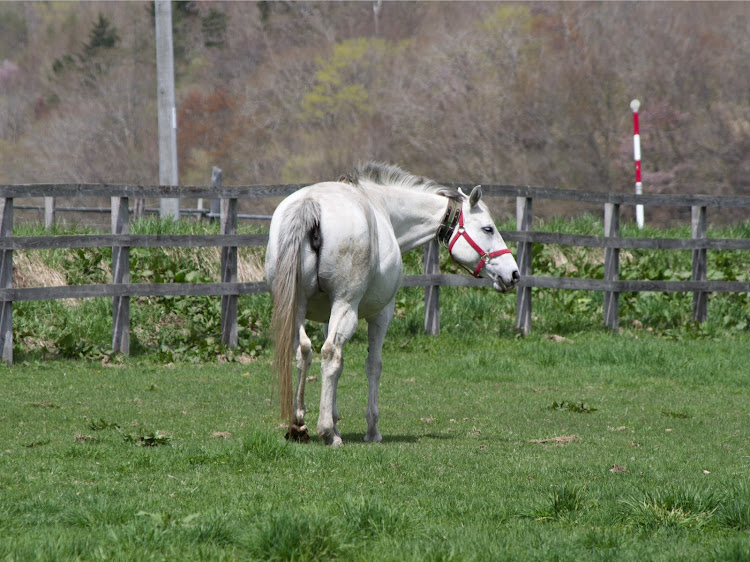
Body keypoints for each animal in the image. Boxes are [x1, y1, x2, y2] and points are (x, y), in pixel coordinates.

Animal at [268, 163, 520, 446]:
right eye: (488, 229)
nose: (513, 274)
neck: (384, 208)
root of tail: (311, 204)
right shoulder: (381, 314)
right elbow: (373, 365)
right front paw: (370, 429)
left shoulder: (327, 317)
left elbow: (337, 365)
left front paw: (335, 420)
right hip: (345, 306)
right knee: (330, 353)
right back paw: (326, 432)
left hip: (297, 307)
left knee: (304, 351)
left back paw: (299, 424)